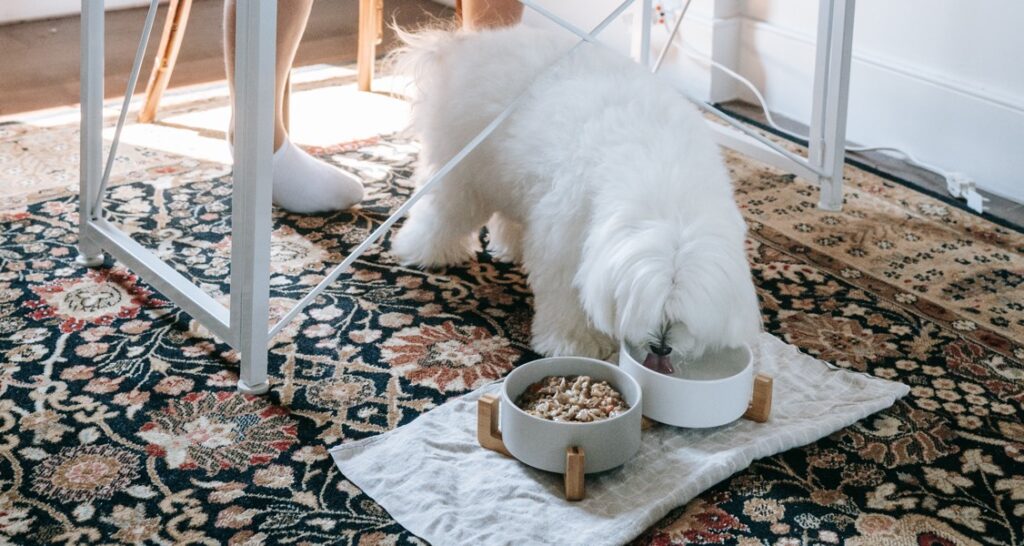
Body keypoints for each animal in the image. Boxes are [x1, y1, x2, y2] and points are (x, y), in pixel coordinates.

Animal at [389, 24, 761, 358]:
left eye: (681, 316)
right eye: (646, 308)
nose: (662, 346)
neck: (667, 182)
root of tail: (456, 47)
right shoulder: (565, 238)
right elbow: (567, 296)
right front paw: (575, 344)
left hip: (513, 176)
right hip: (462, 172)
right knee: (441, 213)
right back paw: (424, 252)